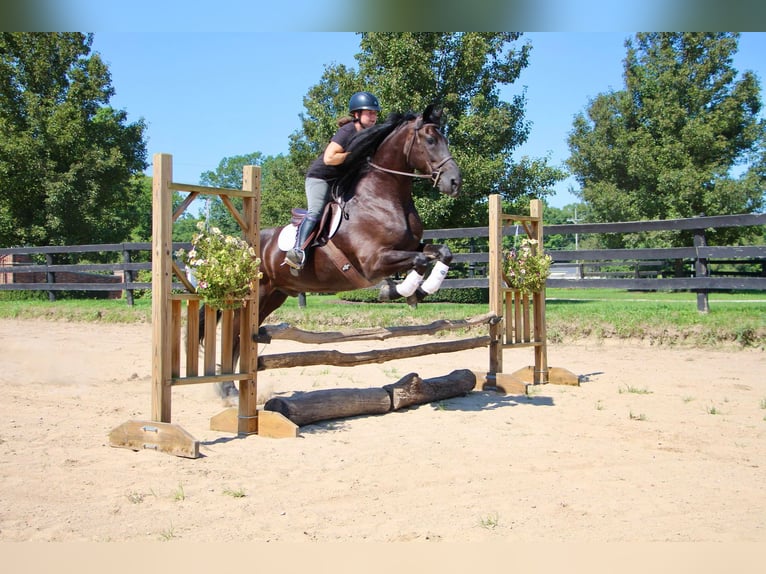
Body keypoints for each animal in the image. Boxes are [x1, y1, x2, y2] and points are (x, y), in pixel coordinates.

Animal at [204, 104, 462, 400]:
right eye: (430, 140)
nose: (455, 182)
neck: (383, 196)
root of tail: (242, 246)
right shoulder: (373, 262)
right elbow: (418, 261)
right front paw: (395, 291)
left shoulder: (409, 247)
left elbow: (442, 252)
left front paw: (418, 292)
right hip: (254, 294)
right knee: (236, 331)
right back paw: (228, 389)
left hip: (274, 295)